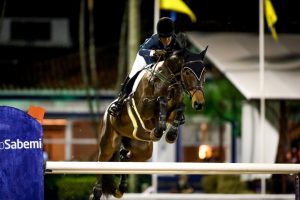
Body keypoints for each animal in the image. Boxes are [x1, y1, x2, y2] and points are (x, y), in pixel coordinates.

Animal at [89, 45, 206, 200]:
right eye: (187, 72)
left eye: (204, 72)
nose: (199, 104)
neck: (168, 80)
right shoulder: (145, 108)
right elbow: (160, 101)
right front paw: (158, 131)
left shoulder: (173, 111)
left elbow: (180, 108)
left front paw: (170, 135)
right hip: (108, 142)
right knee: (102, 162)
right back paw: (97, 192)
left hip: (142, 150)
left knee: (125, 159)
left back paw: (121, 188)